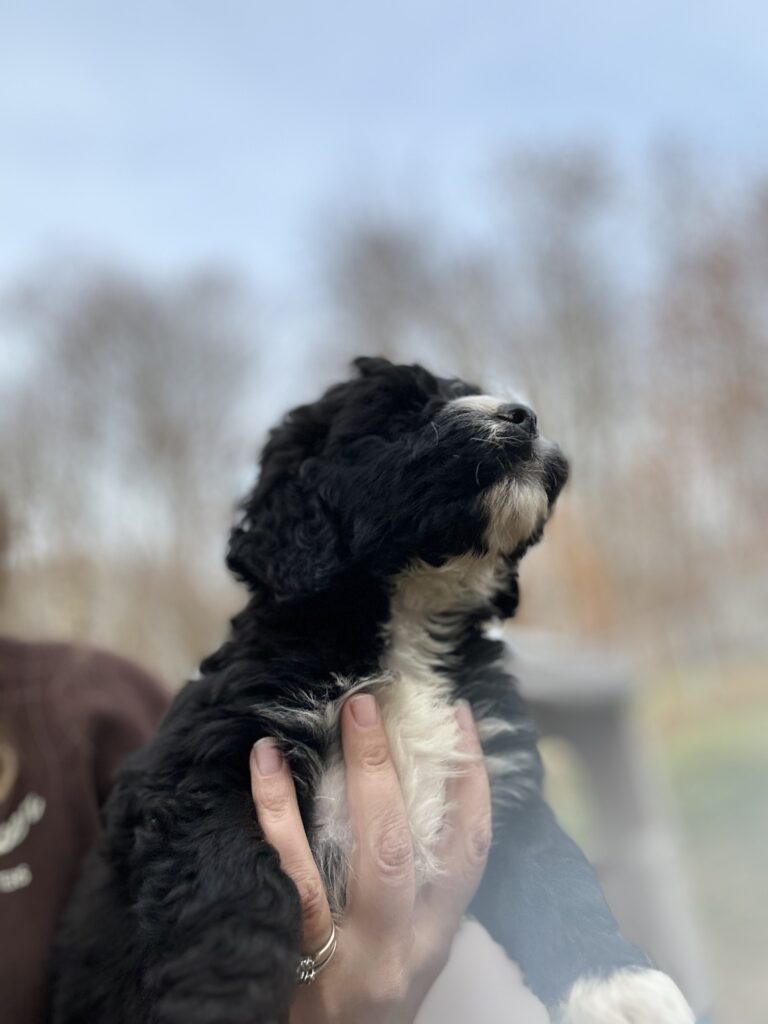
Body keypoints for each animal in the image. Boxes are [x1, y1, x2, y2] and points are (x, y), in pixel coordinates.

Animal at [51, 356, 696, 1019]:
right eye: (399, 416)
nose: (524, 415)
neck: (409, 617)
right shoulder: (204, 772)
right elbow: (235, 888)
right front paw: (227, 1001)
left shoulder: (499, 778)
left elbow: (558, 874)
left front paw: (621, 989)